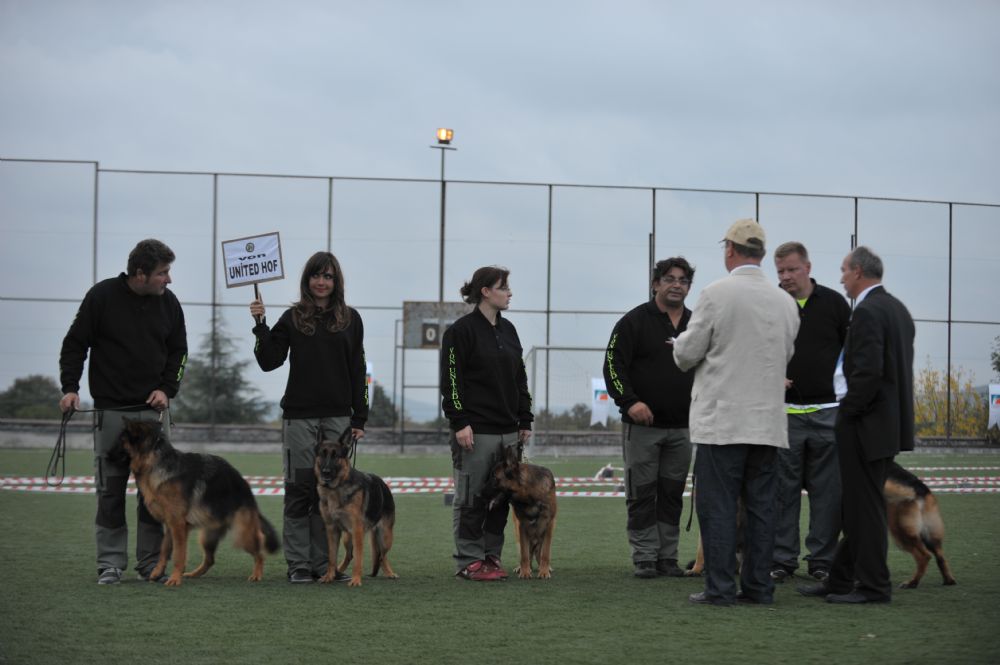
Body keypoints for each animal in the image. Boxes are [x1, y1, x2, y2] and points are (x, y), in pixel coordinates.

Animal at [108, 420, 282, 588]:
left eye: (121, 441)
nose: (106, 456)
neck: (155, 462)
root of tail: (245, 486)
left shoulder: (178, 526)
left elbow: (178, 555)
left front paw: (174, 579)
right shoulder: (170, 525)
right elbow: (164, 550)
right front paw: (158, 572)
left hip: (242, 535)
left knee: (260, 550)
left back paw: (257, 574)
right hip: (207, 536)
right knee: (210, 560)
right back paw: (194, 574)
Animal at [314, 426, 396, 588]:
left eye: (336, 456)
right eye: (323, 454)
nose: (326, 472)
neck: (336, 488)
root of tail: (384, 484)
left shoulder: (357, 530)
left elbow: (359, 558)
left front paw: (356, 580)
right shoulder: (332, 530)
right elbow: (331, 557)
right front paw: (329, 576)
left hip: (385, 536)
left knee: (382, 556)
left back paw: (389, 573)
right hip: (347, 537)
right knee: (349, 555)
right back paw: (339, 571)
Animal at [482, 444, 556, 580]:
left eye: (494, 477)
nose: (478, 493)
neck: (529, 495)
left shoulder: (549, 525)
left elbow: (545, 553)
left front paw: (543, 571)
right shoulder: (522, 526)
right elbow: (524, 554)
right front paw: (525, 572)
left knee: (538, 553)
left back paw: (544, 567)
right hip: (519, 533)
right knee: (525, 553)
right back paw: (522, 567)